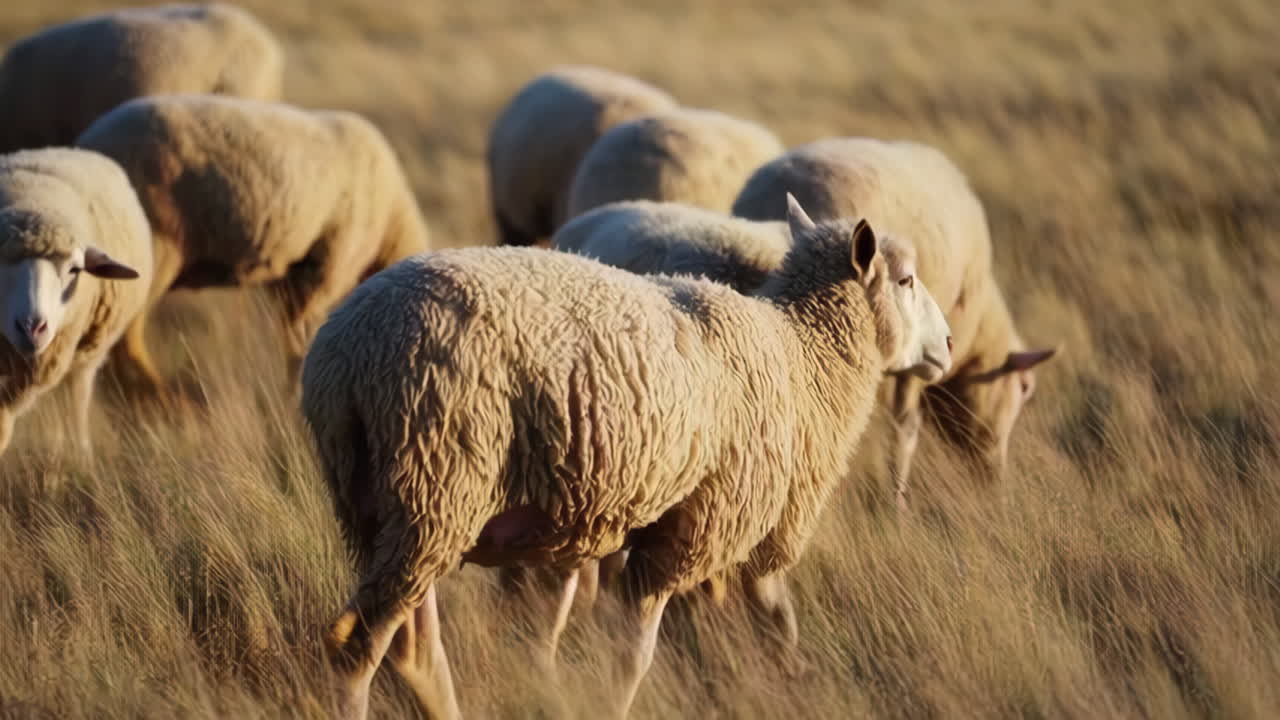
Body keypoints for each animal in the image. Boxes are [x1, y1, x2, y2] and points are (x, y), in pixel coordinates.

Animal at [74, 94, 430, 389]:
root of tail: (89, 144)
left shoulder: (290, 274)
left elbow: (291, 332)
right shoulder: (330, 262)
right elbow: (302, 331)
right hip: (157, 247)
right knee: (127, 342)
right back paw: (166, 398)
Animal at [301, 194, 952, 719]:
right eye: (907, 280)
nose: (946, 345)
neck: (803, 358)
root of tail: (347, 352)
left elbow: (775, 619)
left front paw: (789, 678)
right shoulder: (694, 531)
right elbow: (635, 658)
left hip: (401, 509)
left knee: (417, 653)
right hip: (435, 486)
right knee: (354, 650)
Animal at [732, 137, 1057, 507]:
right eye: (1025, 388)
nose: (995, 479)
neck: (979, 334)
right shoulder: (915, 363)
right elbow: (905, 427)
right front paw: (896, 499)